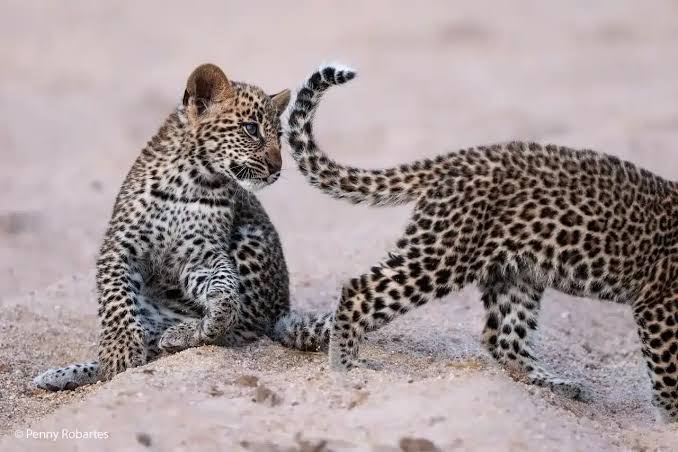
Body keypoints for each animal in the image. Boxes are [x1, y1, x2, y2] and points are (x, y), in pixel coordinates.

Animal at [33, 63, 323, 391]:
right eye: (251, 129)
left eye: (280, 135)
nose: (277, 168)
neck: (193, 182)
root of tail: (281, 314)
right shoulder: (119, 246)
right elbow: (116, 300)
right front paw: (119, 353)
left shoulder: (199, 255)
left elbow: (226, 290)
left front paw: (213, 320)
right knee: (150, 339)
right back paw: (61, 375)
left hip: (251, 241)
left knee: (237, 332)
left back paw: (179, 334)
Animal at [282, 64, 678, 422]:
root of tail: (455, 159)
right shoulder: (661, 303)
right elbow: (669, 368)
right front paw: (671, 419)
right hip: (443, 254)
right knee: (360, 289)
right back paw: (346, 366)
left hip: (515, 273)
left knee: (503, 338)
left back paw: (555, 384)